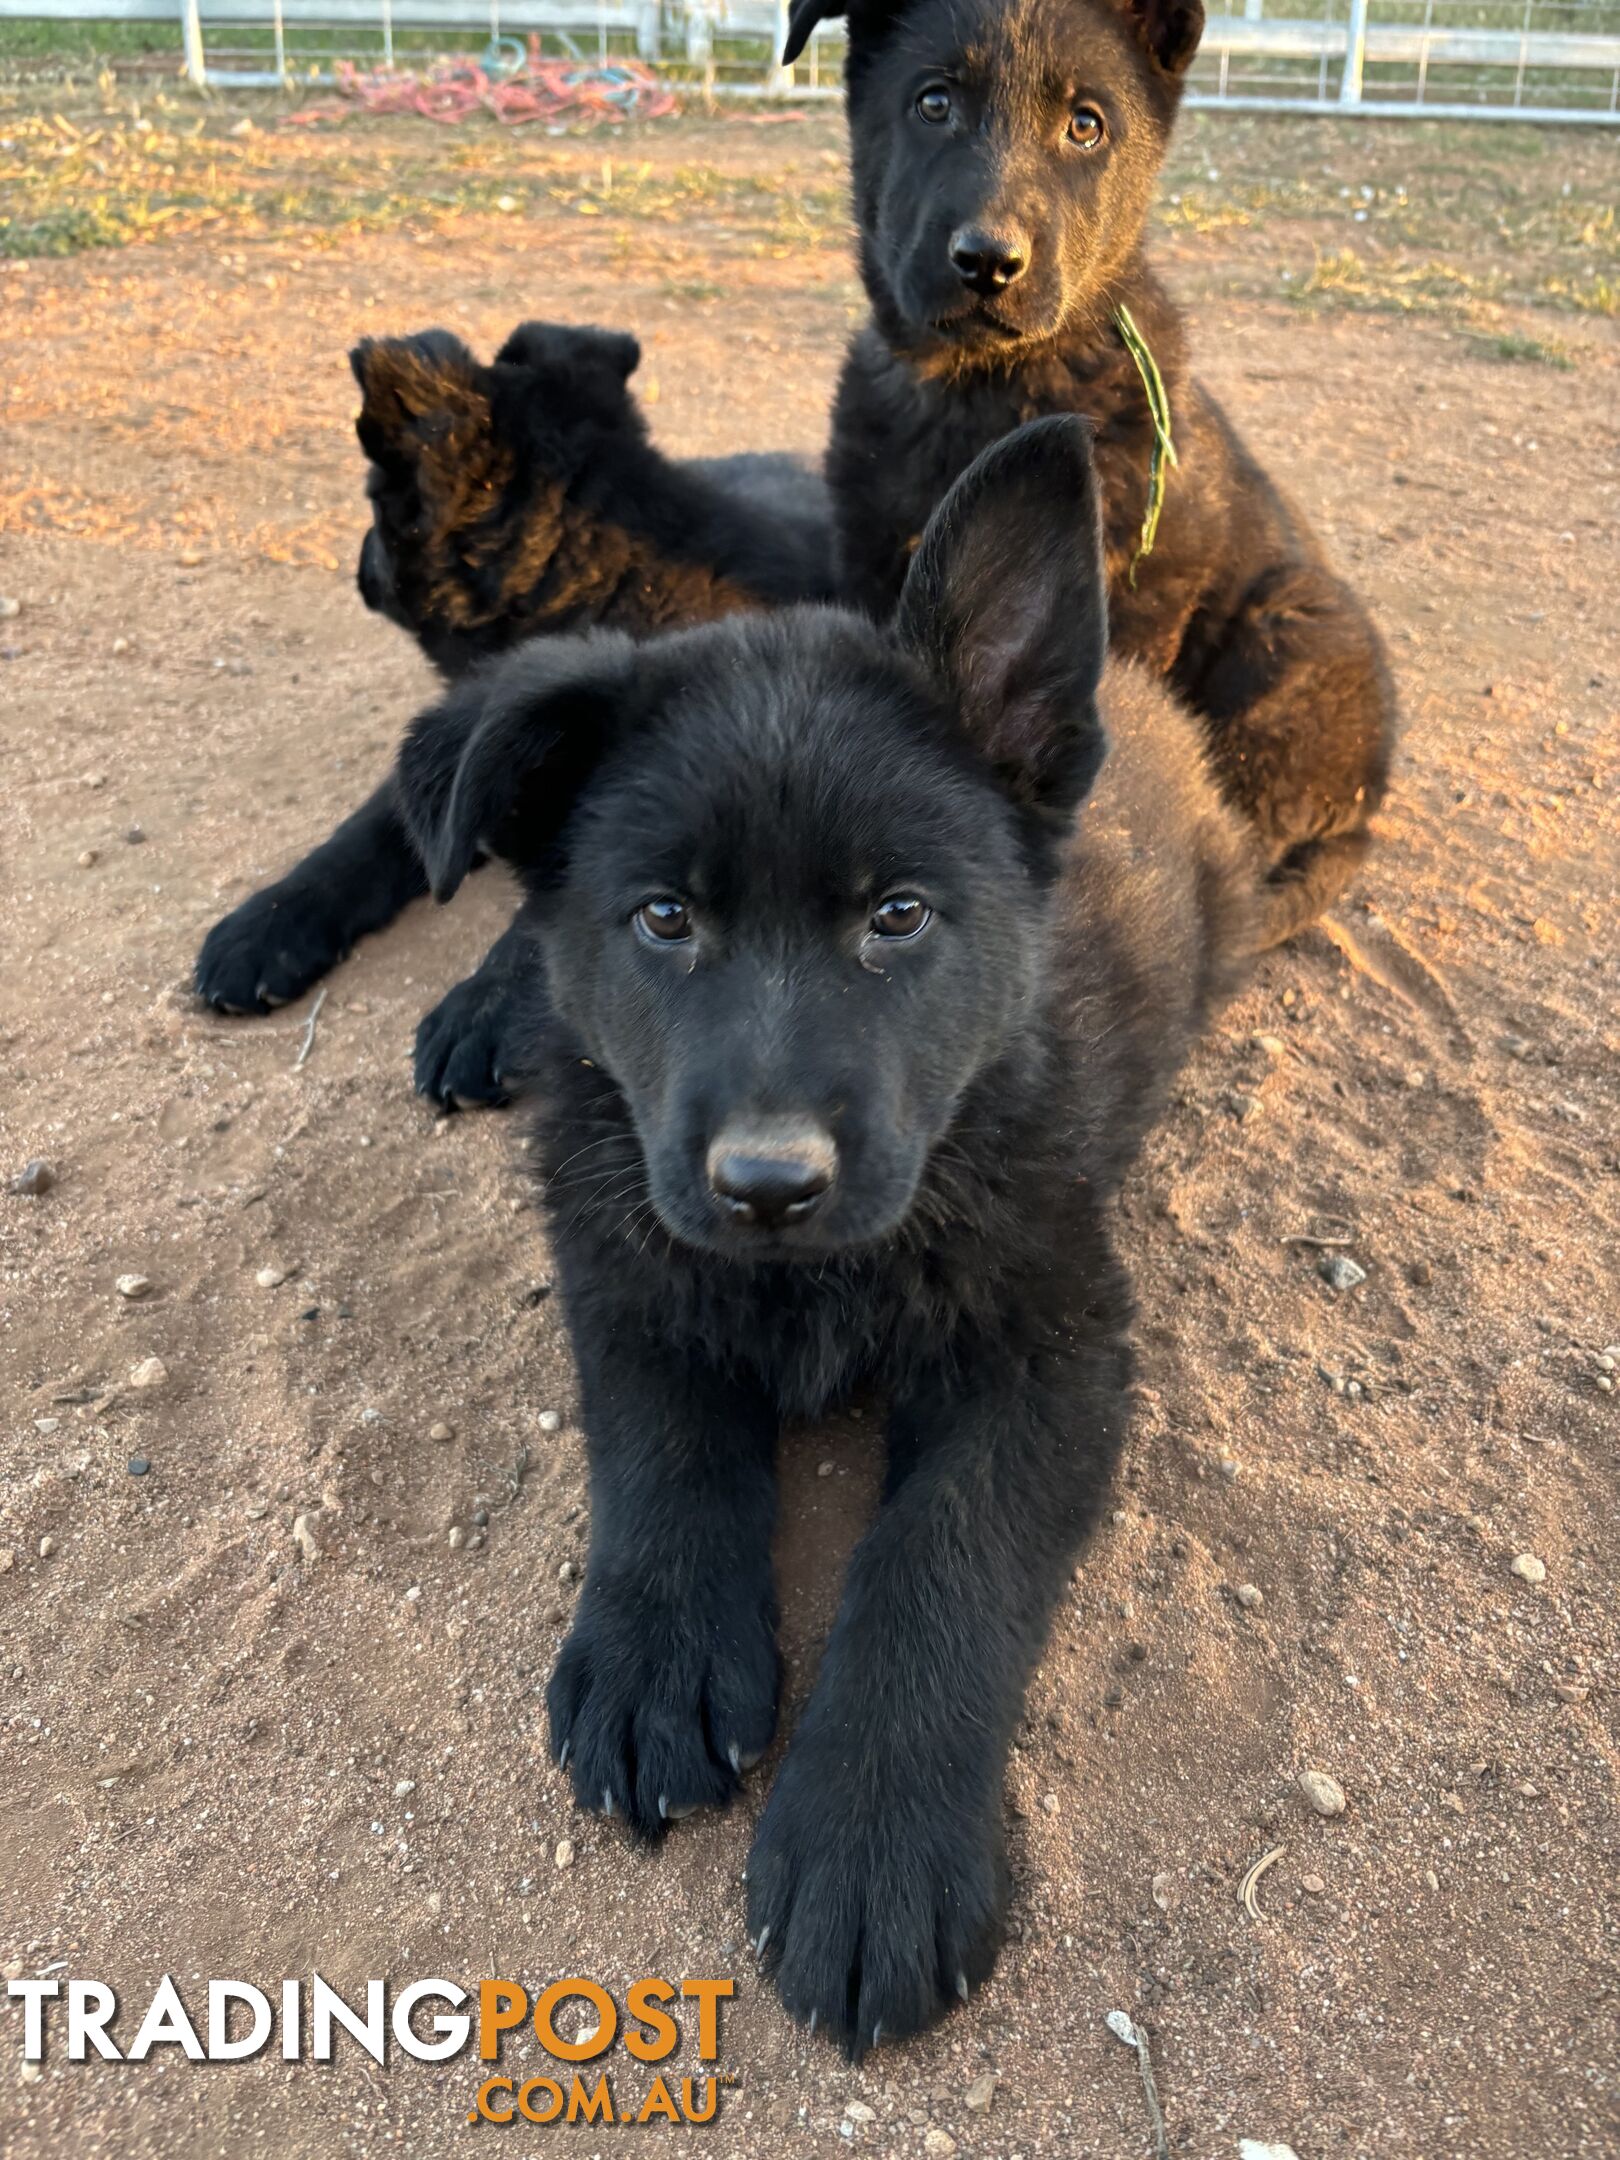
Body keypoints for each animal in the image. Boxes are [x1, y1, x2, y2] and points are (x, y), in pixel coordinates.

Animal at [393, 416, 1252, 2039]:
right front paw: (658, 1648)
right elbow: (662, 1439)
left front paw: (870, 1837)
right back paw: (488, 1004)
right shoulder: (622, 1251)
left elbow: (939, 1558)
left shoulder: (1055, 1345)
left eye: (897, 916)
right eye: (665, 920)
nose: (769, 1185)